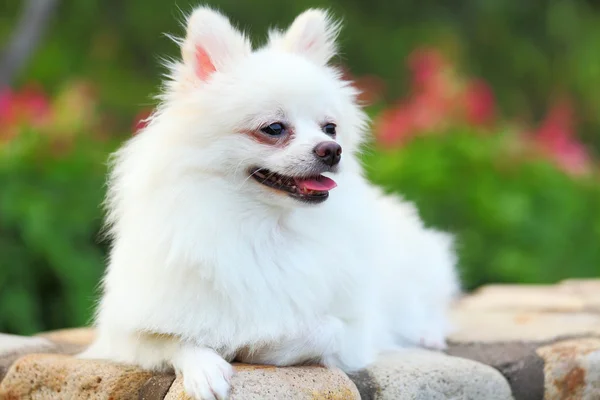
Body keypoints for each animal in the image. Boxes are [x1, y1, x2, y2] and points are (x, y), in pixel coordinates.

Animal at [81, 4, 460, 398]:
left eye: (330, 128)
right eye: (274, 129)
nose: (332, 150)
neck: (264, 227)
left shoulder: (356, 330)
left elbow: (317, 329)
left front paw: (256, 345)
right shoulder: (126, 333)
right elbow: (170, 338)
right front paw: (204, 366)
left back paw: (427, 332)